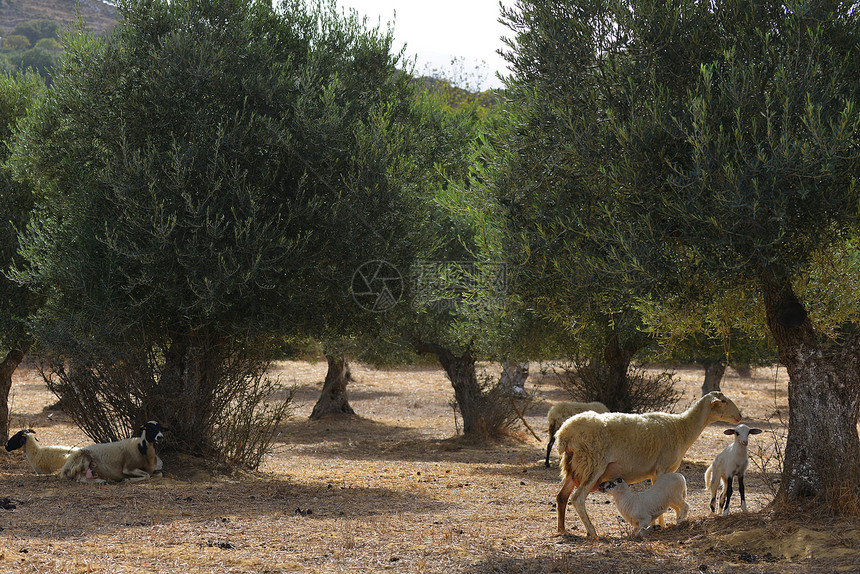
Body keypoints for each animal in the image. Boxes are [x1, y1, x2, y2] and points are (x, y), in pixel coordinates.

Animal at [556, 392, 744, 540]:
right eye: (724, 401)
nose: (740, 415)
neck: (682, 427)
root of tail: (564, 434)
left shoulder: (657, 472)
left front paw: (660, 523)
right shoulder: (662, 468)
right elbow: (660, 495)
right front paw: (660, 524)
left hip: (574, 468)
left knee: (561, 496)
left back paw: (562, 530)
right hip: (592, 465)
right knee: (577, 498)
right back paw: (592, 532)